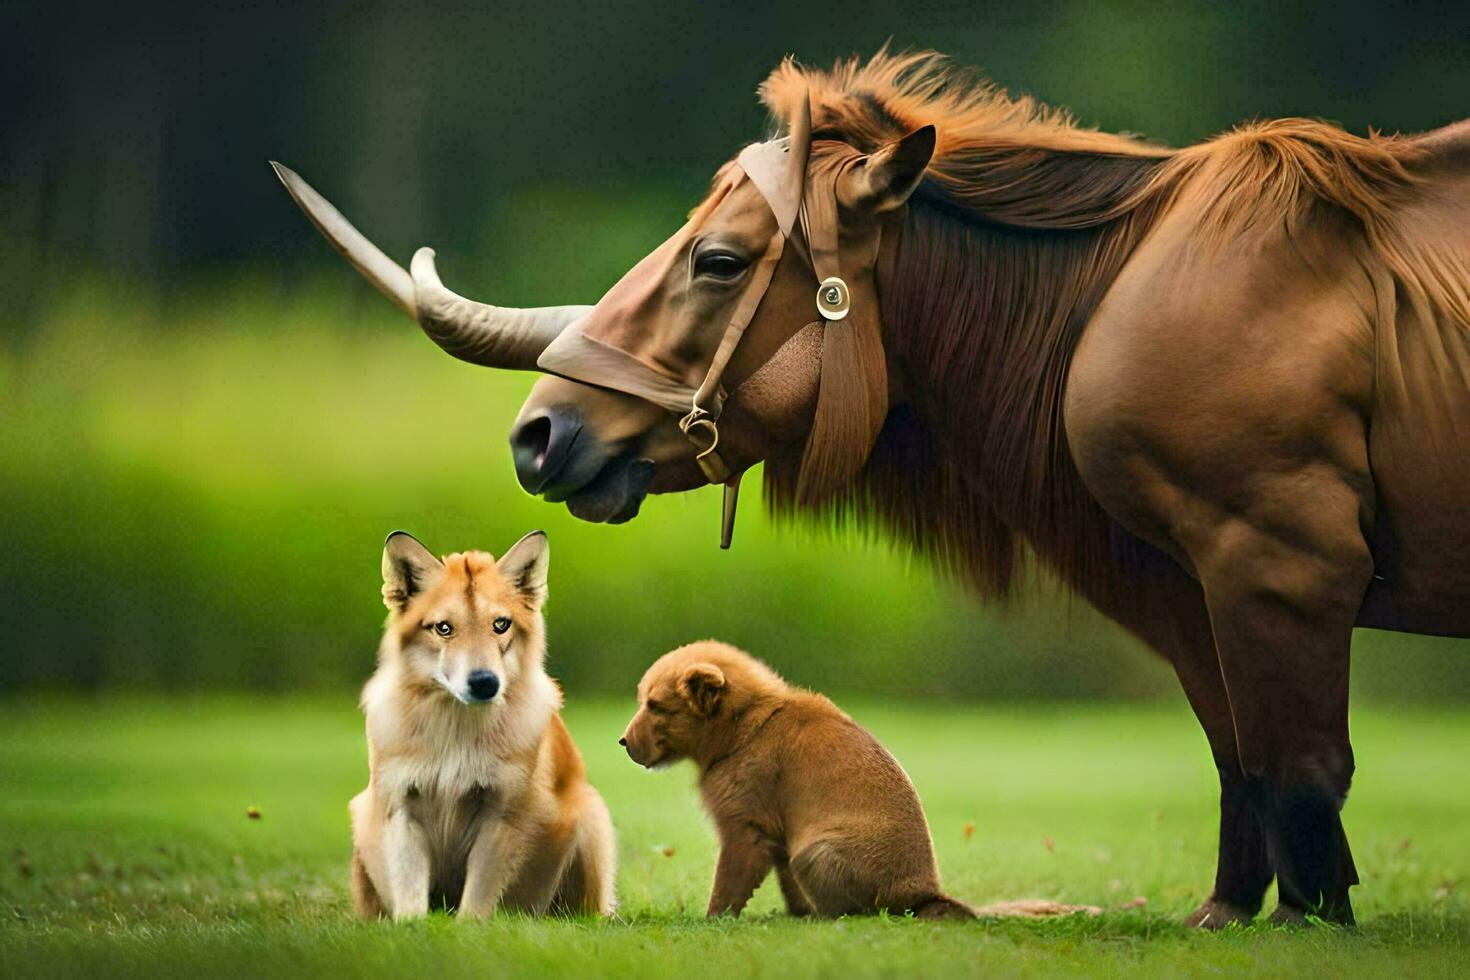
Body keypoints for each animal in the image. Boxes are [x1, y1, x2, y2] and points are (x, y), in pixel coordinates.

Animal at [620, 643, 976, 922]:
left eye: (655, 706)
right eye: (643, 700)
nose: (624, 741)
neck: (736, 731)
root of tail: (924, 893)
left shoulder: (747, 813)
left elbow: (733, 873)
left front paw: (713, 917)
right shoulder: (778, 823)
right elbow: (785, 875)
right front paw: (795, 910)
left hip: (820, 850)